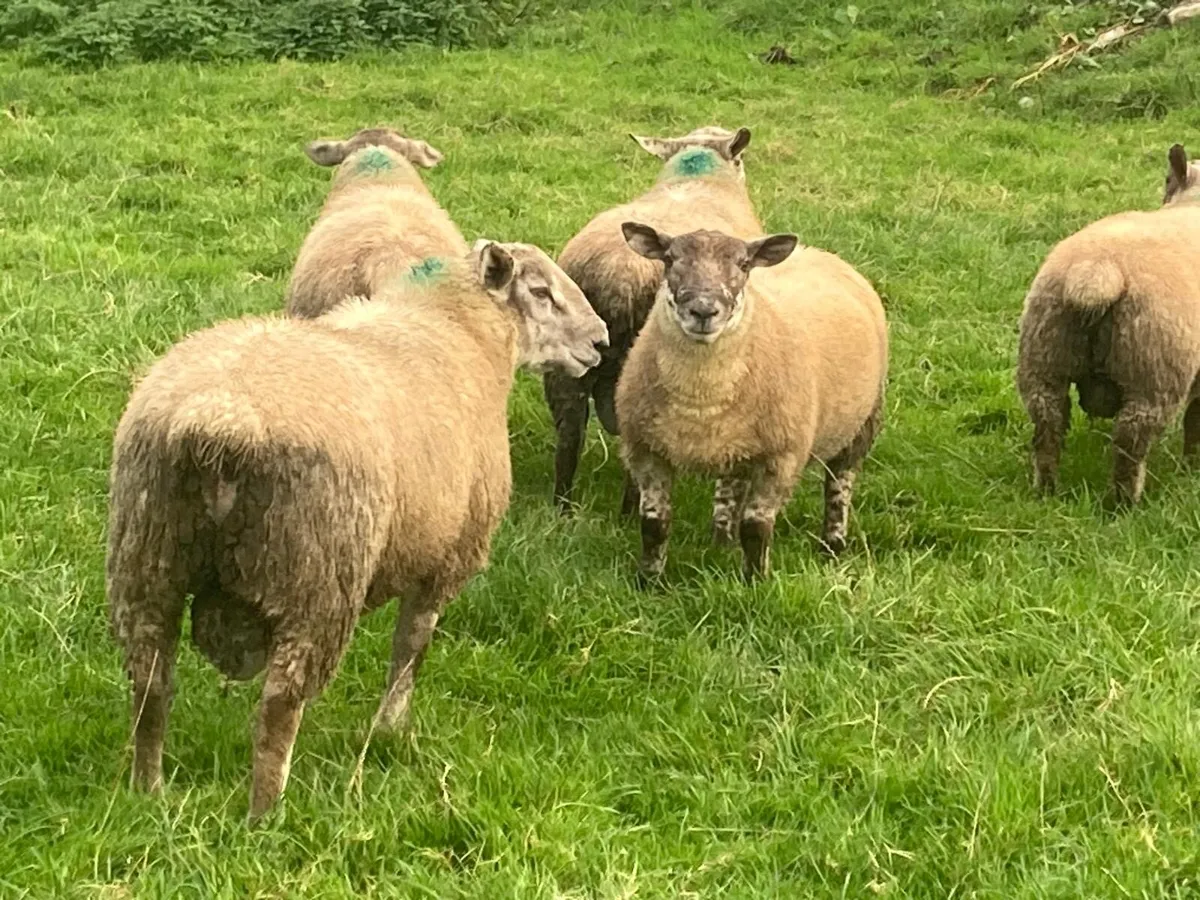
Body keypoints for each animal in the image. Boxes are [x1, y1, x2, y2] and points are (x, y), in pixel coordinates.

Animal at [107, 242, 608, 821]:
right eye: (541, 292)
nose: (601, 342)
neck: (460, 330)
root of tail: (221, 421)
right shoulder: (447, 557)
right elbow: (410, 647)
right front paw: (391, 728)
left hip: (147, 559)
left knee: (150, 686)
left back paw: (148, 791)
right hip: (316, 579)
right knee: (279, 707)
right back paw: (265, 817)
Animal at [545, 126, 764, 525]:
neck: (699, 176)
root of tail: (619, 275)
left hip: (565, 365)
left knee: (569, 440)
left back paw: (563, 509)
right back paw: (629, 516)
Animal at [614, 223, 888, 582]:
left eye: (744, 265)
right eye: (670, 259)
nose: (703, 311)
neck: (701, 399)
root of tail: (817, 253)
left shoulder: (780, 457)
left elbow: (756, 529)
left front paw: (755, 581)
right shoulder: (647, 450)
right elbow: (653, 525)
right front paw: (648, 581)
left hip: (863, 422)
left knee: (839, 485)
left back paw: (832, 546)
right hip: (738, 443)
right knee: (731, 487)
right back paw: (721, 541)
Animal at [1017, 142, 1200, 506]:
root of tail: (1097, 272)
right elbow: (1196, 423)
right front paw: (1192, 468)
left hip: (1043, 362)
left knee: (1047, 428)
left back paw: (1046, 492)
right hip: (1152, 377)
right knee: (1130, 444)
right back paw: (1123, 505)